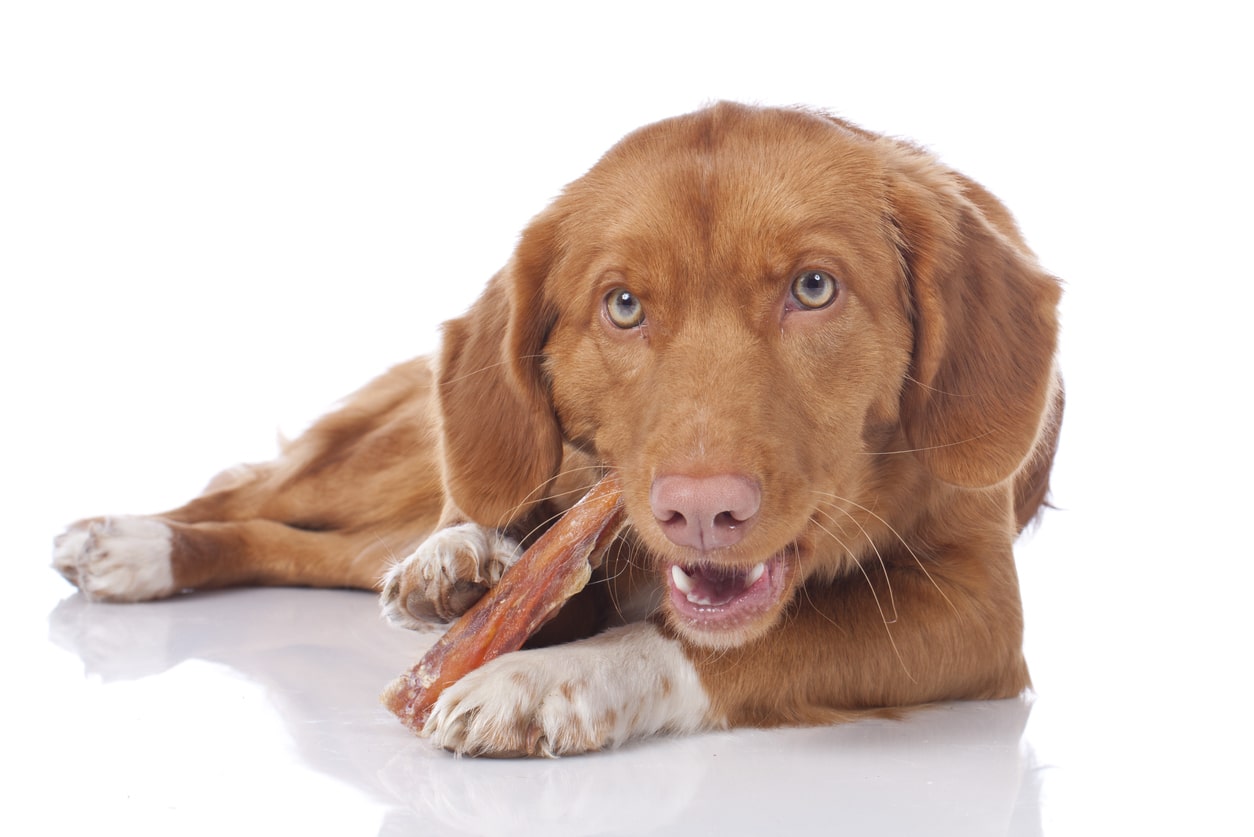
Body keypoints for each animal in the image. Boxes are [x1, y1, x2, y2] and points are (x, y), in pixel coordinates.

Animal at [53, 101, 1063, 757]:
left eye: (815, 287)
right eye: (623, 306)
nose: (703, 512)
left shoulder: (980, 607)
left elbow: (727, 641)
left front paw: (548, 680)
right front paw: (471, 567)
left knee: (305, 544)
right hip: (391, 453)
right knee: (256, 490)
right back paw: (133, 543)